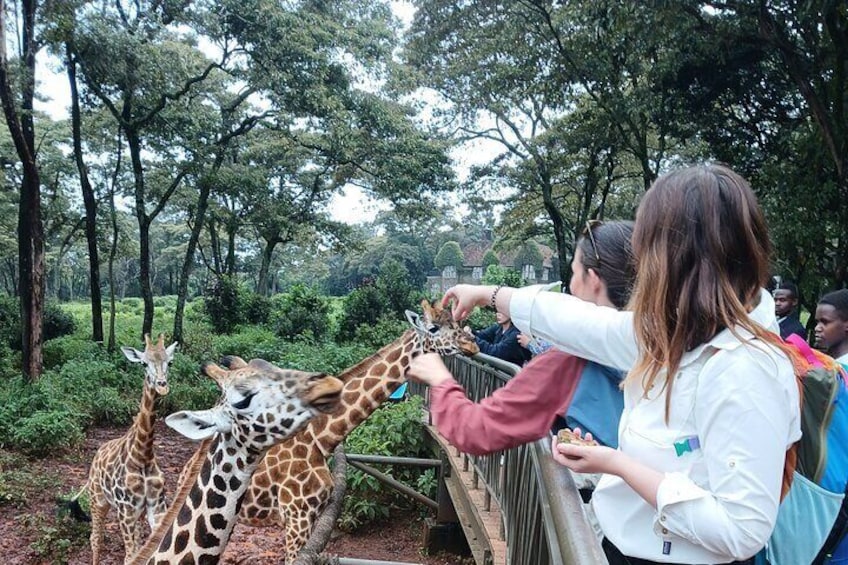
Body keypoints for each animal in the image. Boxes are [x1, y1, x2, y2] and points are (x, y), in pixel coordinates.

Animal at [70, 333, 178, 564]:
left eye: (170, 362)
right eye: (144, 363)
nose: (162, 385)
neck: (143, 455)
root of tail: (97, 454)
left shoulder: (156, 507)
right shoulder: (125, 511)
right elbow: (129, 557)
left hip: (135, 513)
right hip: (98, 500)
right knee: (95, 538)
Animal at [236, 298, 480, 562]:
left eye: (456, 322)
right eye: (433, 328)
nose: (472, 344)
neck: (318, 439)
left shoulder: (308, 516)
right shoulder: (296, 514)